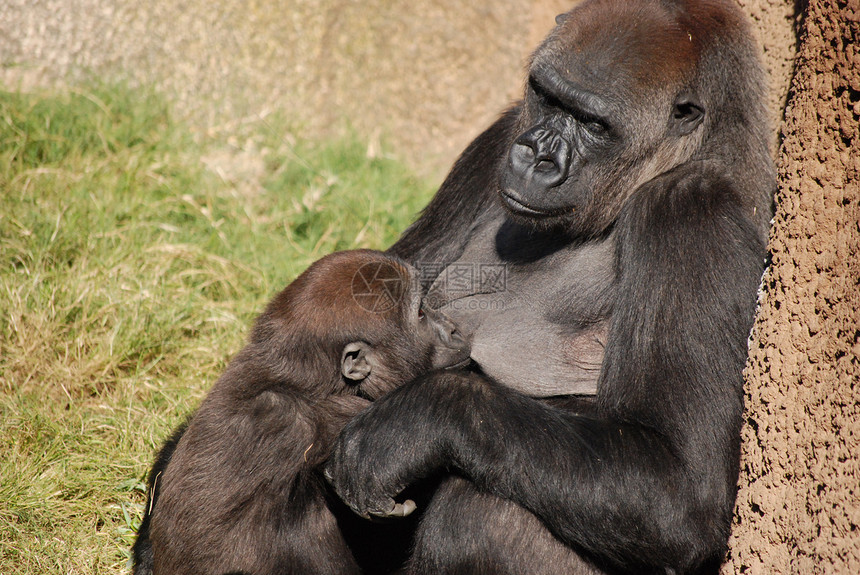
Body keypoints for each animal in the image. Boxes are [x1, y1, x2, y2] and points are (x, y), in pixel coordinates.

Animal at [322, 1, 772, 575]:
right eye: (548, 97)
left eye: (594, 124)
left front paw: (409, 424)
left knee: (483, 512)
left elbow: (680, 488)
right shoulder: (497, 135)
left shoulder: (693, 211)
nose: (535, 156)